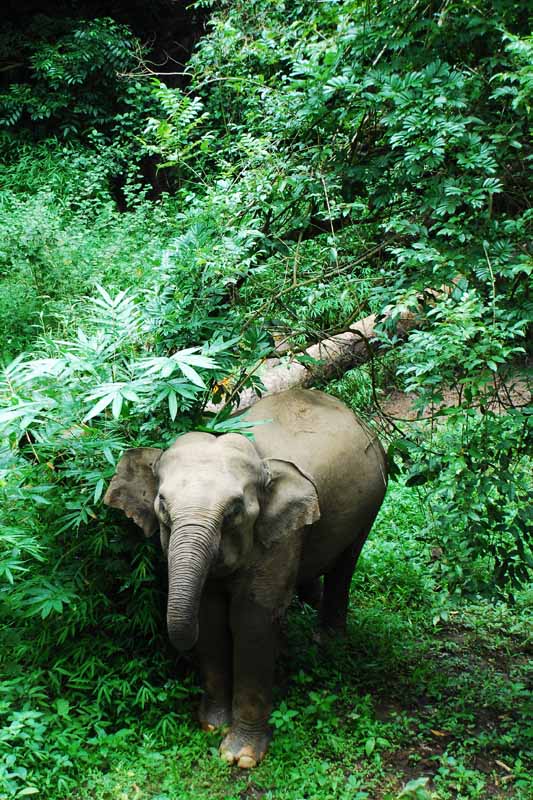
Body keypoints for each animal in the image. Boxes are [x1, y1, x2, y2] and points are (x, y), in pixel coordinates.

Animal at [104, 388, 386, 768]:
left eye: (234, 510)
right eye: (162, 504)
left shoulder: (279, 539)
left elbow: (252, 622)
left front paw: (241, 755)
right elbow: (209, 617)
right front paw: (212, 724)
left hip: (372, 498)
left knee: (346, 565)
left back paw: (328, 641)